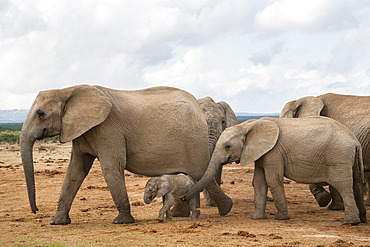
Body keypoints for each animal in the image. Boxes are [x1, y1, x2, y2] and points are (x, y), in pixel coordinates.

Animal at [20, 84, 231, 225]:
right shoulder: (82, 132)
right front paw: (57, 222)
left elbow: (111, 167)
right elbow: (75, 170)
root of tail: (196, 103)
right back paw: (182, 214)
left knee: (200, 172)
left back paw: (226, 209)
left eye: (40, 114)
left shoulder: (108, 130)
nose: (36, 210)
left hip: (193, 139)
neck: (68, 90)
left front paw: (122, 221)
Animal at [186, 116, 366, 225]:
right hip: (350, 158)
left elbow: (272, 179)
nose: (184, 198)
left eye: (228, 146)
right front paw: (256, 218)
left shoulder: (274, 152)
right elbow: (259, 182)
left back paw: (349, 222)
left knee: (343, 185)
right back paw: (362, 220)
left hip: (339, 157)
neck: (249, 125)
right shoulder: (261, 154)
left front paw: (281, 218)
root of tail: (355, 140)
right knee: (355, 185)